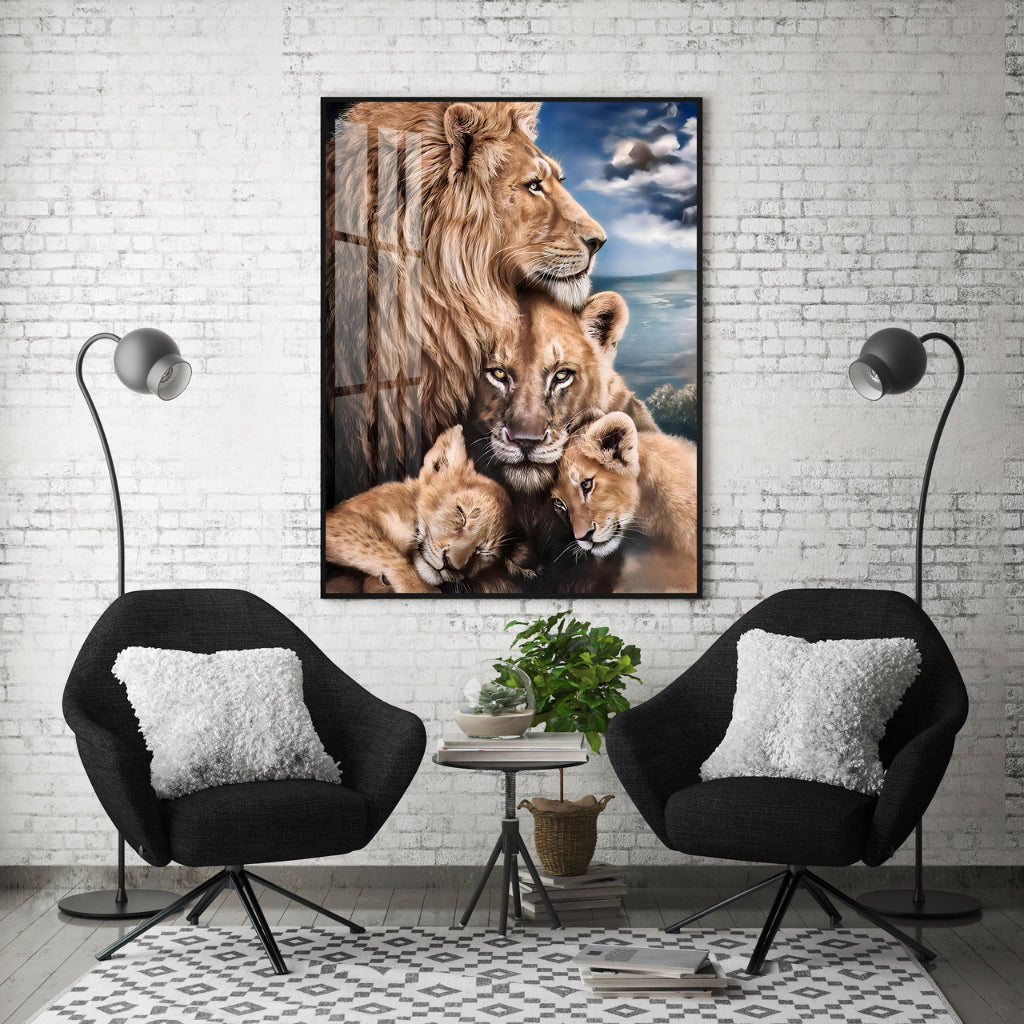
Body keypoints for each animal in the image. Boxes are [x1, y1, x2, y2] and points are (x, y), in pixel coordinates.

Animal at [324, 425, 526, 594]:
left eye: (483, 552)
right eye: (461, 513)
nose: (450, 564)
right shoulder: (339, 520)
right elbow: (384, 550)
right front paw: (418, 587)